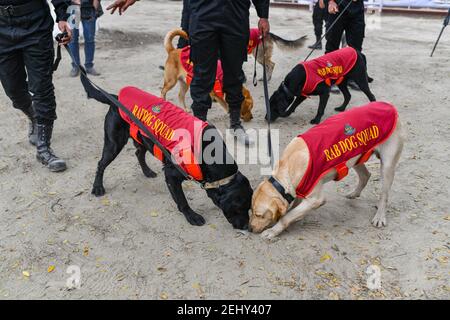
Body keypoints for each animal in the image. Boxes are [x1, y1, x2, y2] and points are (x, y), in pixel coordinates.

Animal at [79, 75, 251, 230]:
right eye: (238, 207)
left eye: (249, 207)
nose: (247, 227)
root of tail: (115, 98)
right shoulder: (171, 175)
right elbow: (182, 200)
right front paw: (192, 216)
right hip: (114, 143)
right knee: (101, 164)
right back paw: (97, 187)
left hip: (143, 138)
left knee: (139, 154)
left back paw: (147, 172)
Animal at [250, 102, 404, 240]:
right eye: (250, 210)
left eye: (259, 215)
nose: (249, 228)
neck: (289, 165)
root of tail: (389, 106)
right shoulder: (302, 188)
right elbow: (294, 208)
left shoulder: (316, 199)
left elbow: (287, 216)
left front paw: (273, 231)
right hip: (354, 157)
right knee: (366, 175)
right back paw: (354, 193)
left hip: (387, 166)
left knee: (384, 195)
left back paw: (379, 217)